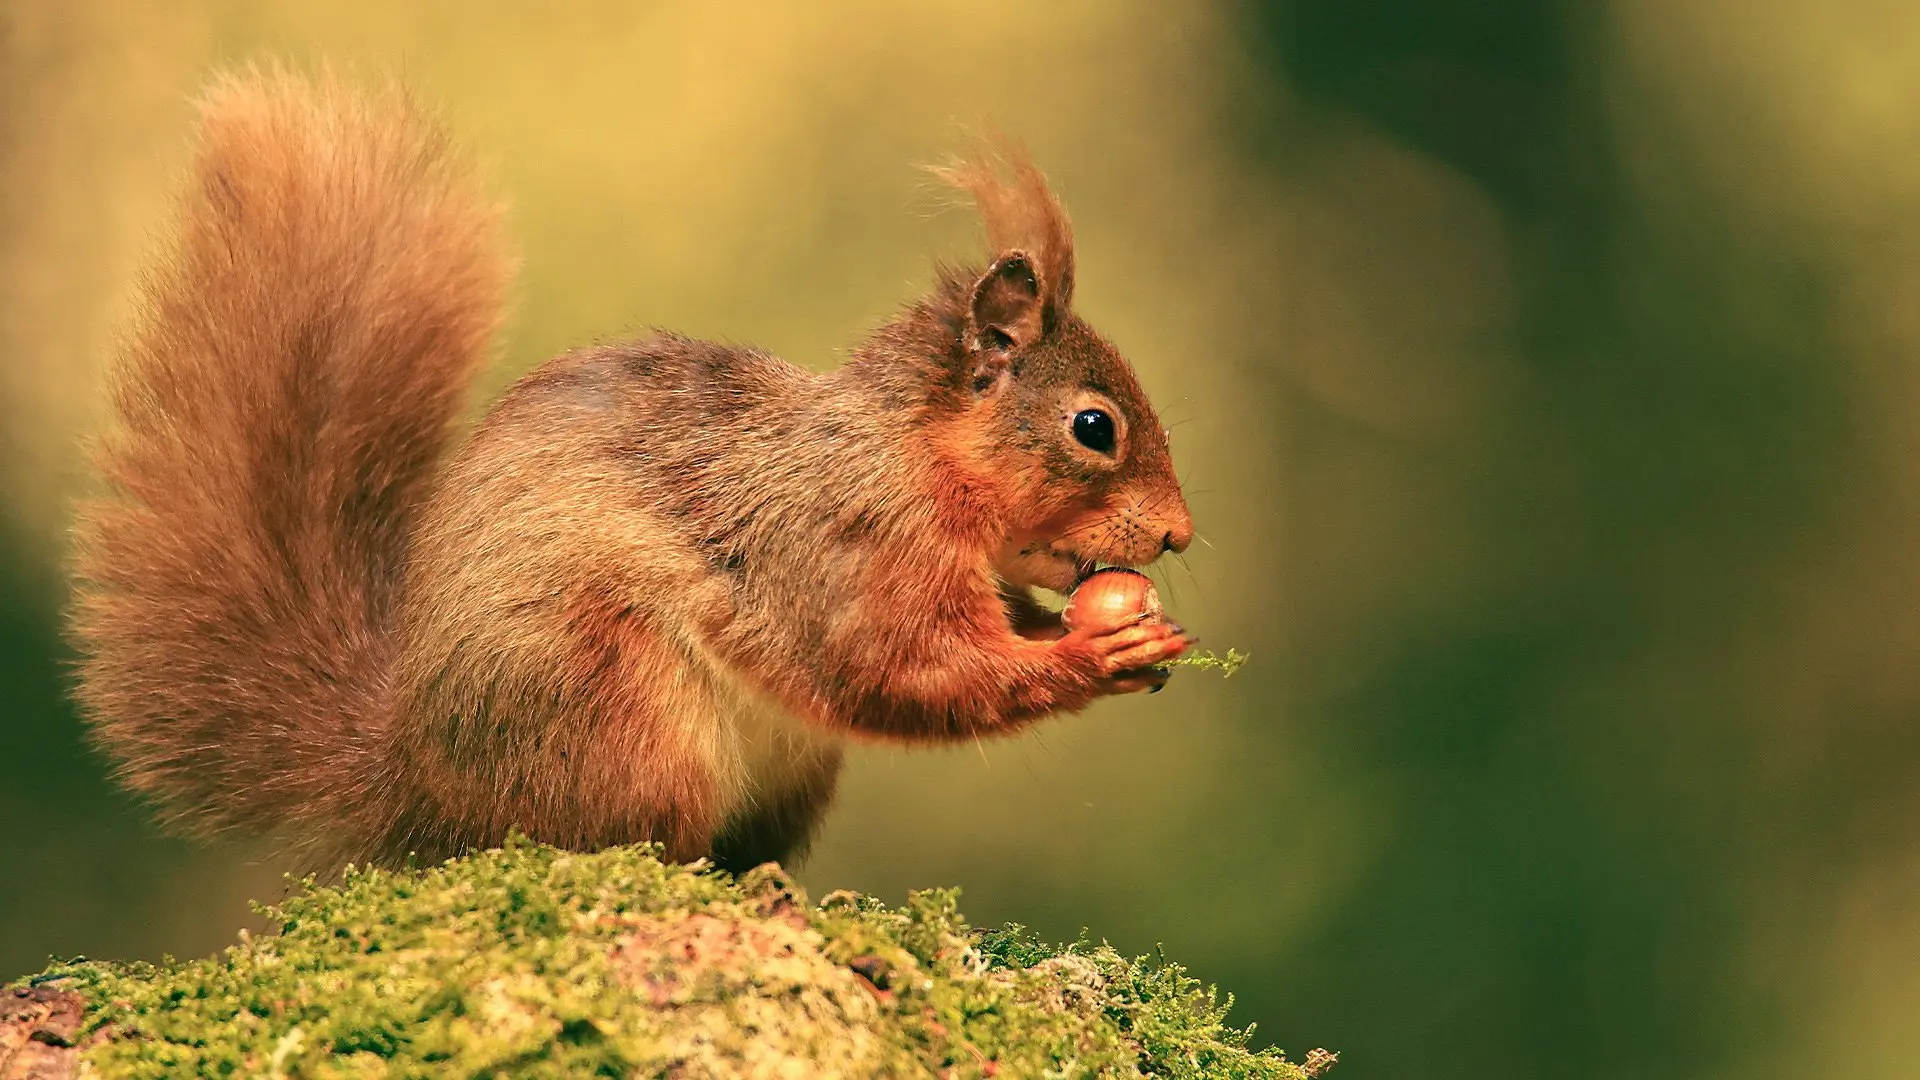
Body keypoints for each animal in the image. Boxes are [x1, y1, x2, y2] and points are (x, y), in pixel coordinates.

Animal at [69, 66, 1195, 874]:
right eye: (1094, 427)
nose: (1180, 536)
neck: (908, 453)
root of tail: (420, 784)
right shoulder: (846, 546)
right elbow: (901, 670)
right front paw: (1092, 652)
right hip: (616, 711)